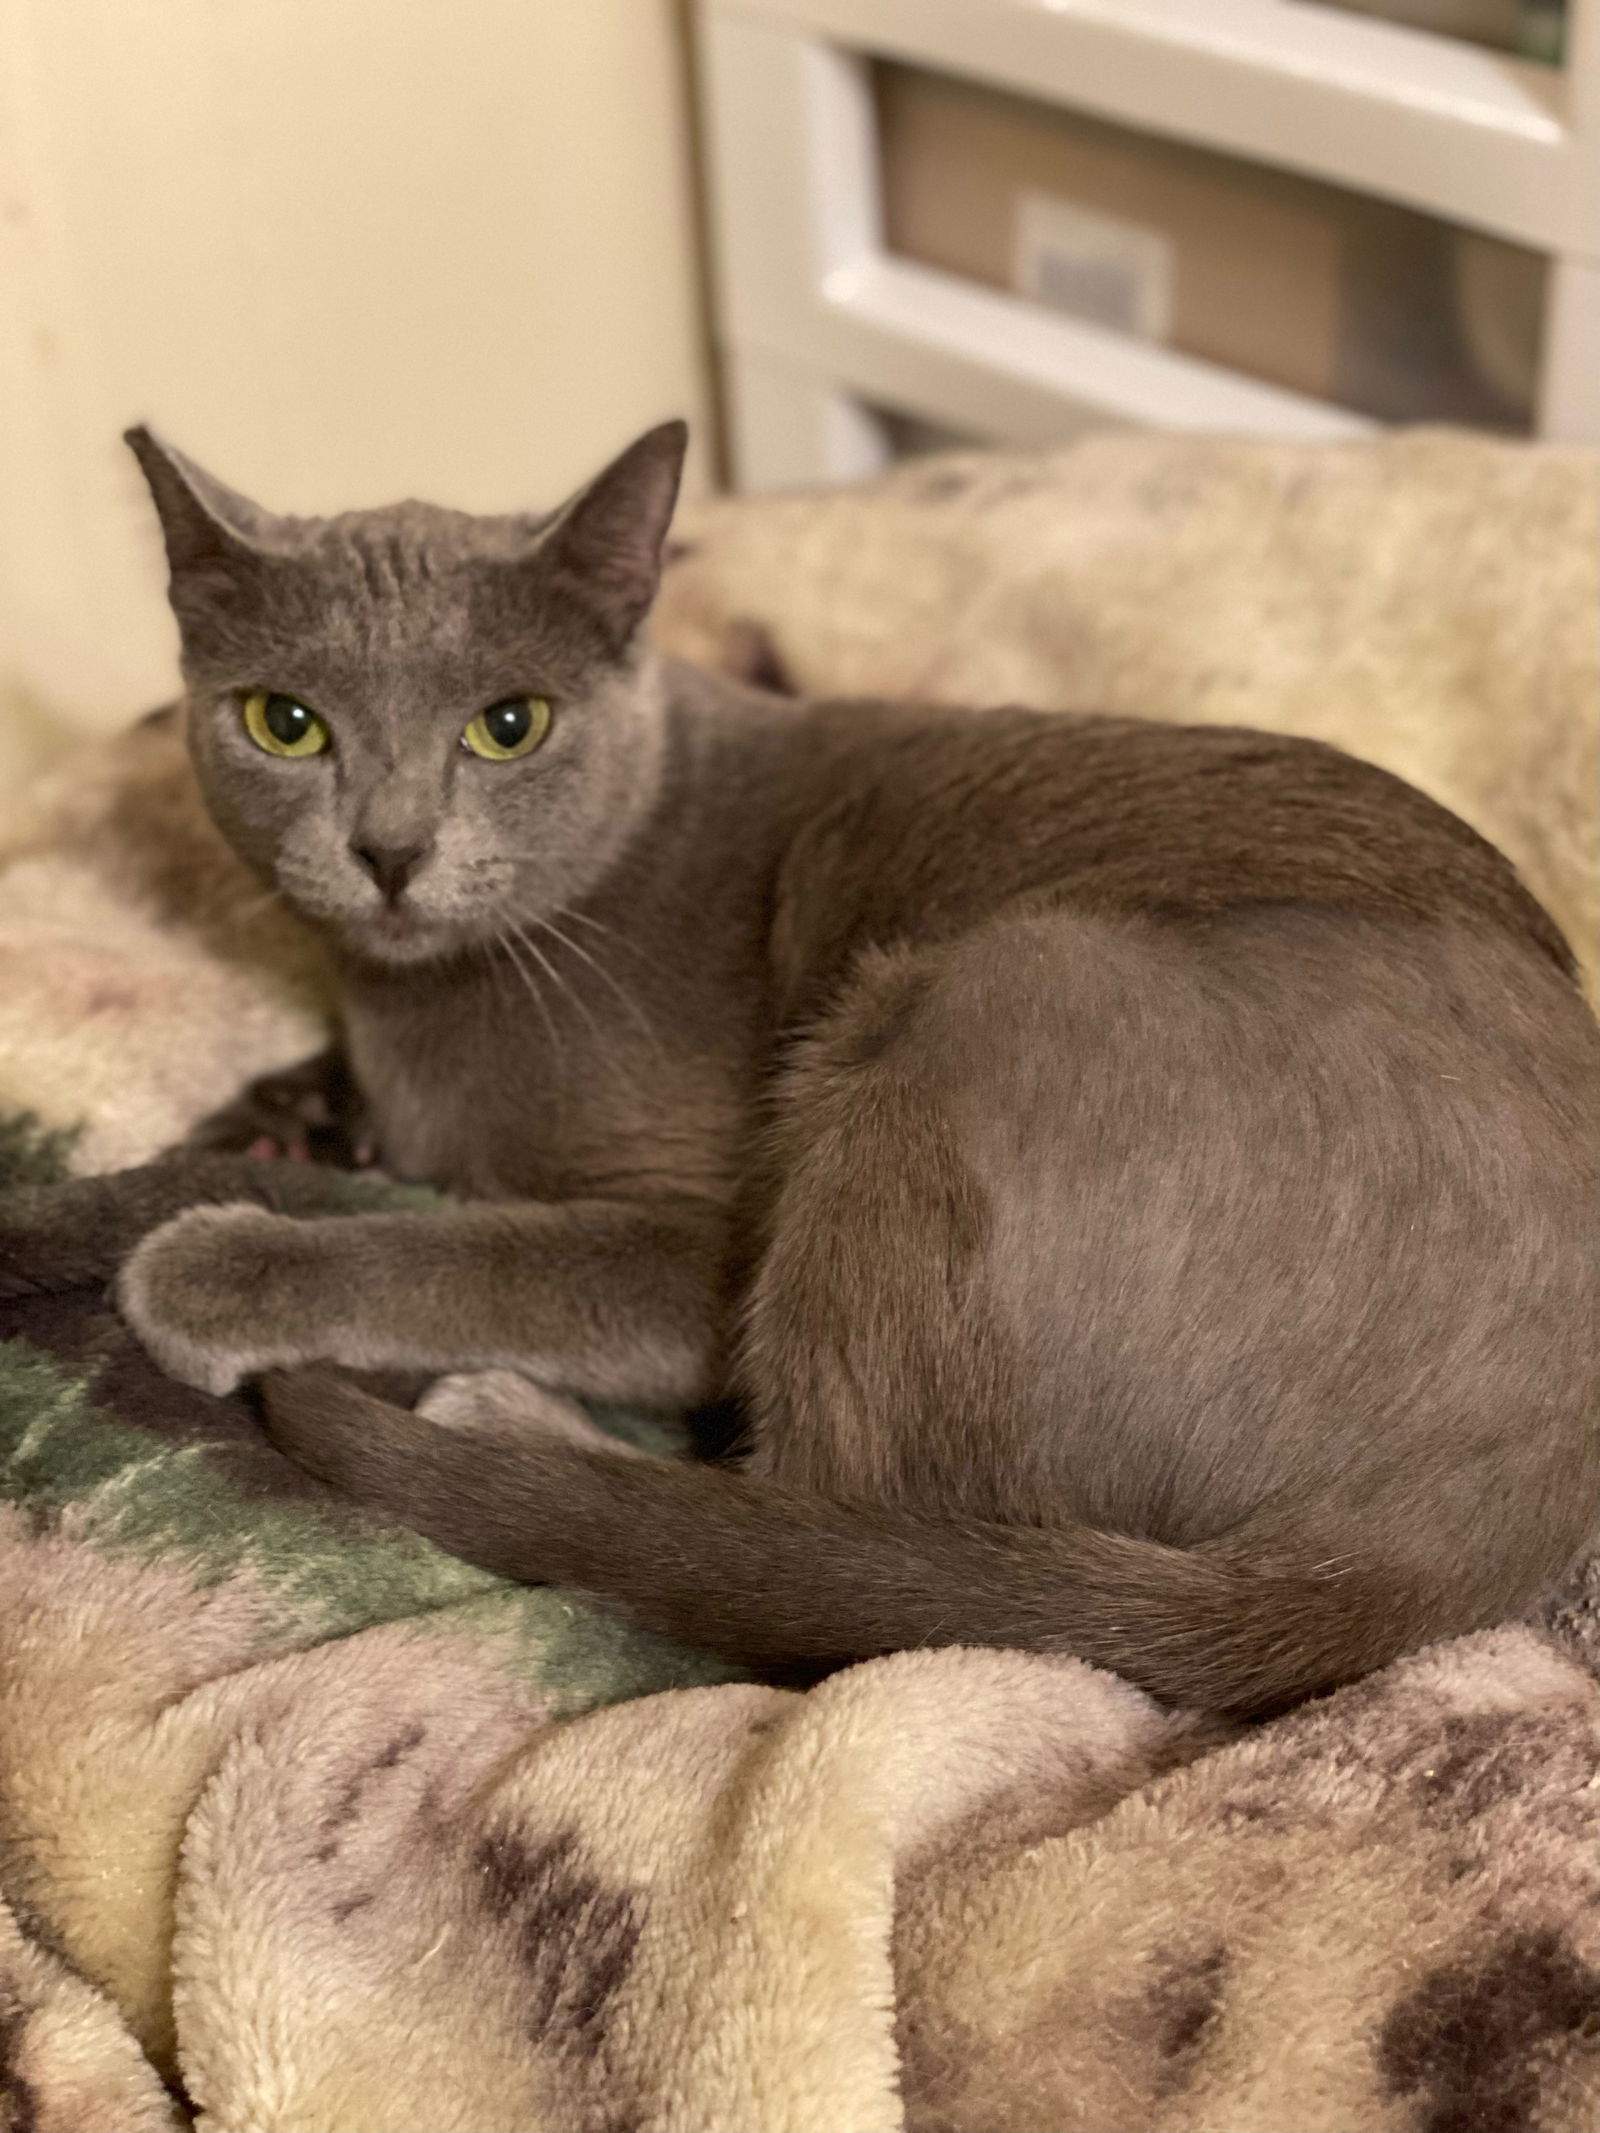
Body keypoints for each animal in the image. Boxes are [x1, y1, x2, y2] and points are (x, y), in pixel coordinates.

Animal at [118, 420, 1600, 1714]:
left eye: (509, 724)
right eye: (286, 722)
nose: (388, 849)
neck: (415, 1005)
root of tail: (1465, 1541)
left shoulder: (698, 1239)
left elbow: (482, 1253)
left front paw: (213, 1266)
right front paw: (282, 1121)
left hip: (978, 1000)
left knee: (829, 1543)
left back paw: (502, 1422)